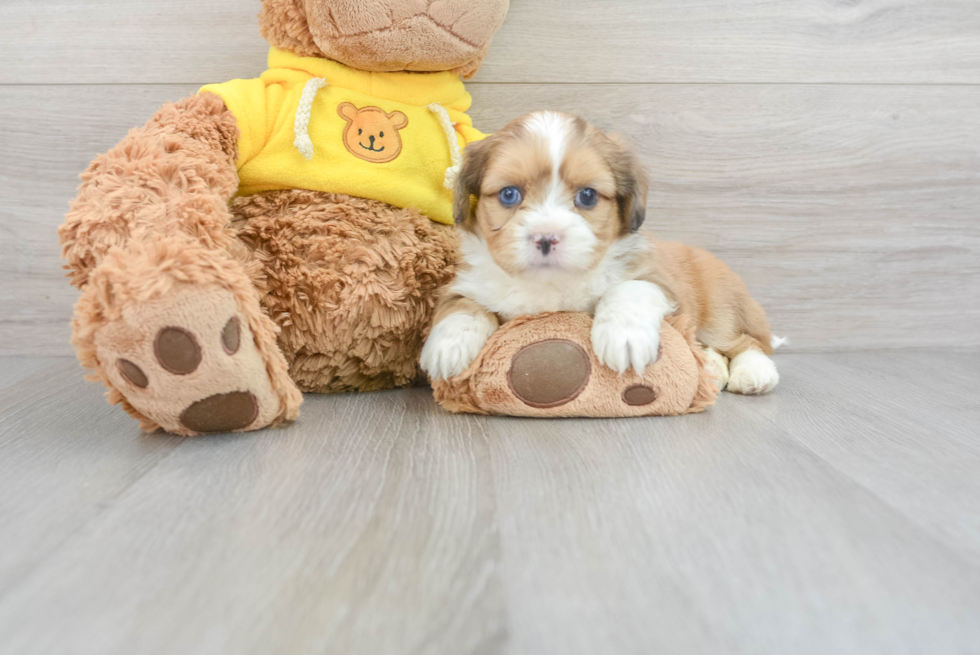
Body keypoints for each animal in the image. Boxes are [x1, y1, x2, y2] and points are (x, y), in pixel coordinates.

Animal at [422, 111, 780, 394]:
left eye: (588, 196)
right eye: (509, 195)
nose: (546, 238)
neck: (550, 285)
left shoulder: (659, 281)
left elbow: (628, 290)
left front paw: (624, 336)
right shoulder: (469, 283)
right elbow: (462, 306)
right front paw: (448, 346)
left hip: (720, 312)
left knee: (747, 343)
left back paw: (754, 373)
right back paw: (712, 367)